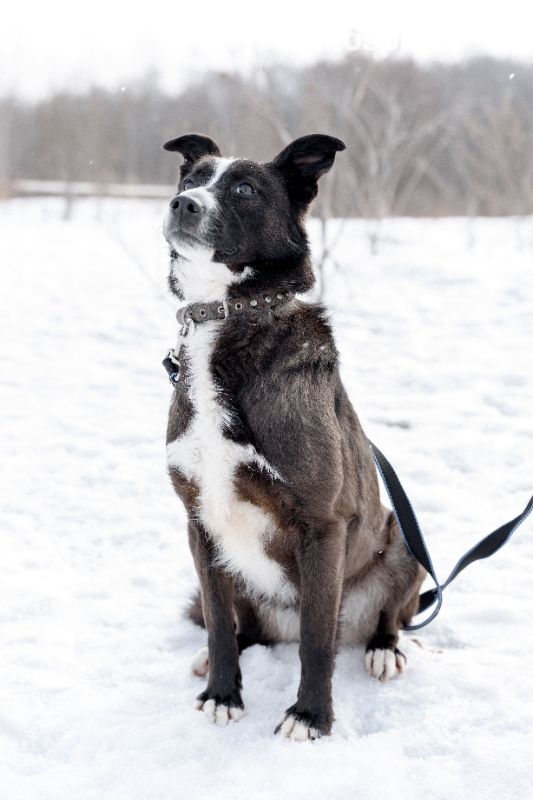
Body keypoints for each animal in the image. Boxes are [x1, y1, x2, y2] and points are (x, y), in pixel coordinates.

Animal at [162, 134, 424, 740]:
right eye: (193, 179)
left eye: (244, 188)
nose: (183, 205)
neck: (228, 314)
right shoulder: (200, 524)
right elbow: (217, 624)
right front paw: (223, 694)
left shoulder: (323, 524)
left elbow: (316, 640)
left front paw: (310, 716)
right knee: (239, 628)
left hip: (404, 542)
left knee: (385, 618)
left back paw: (383, 649)